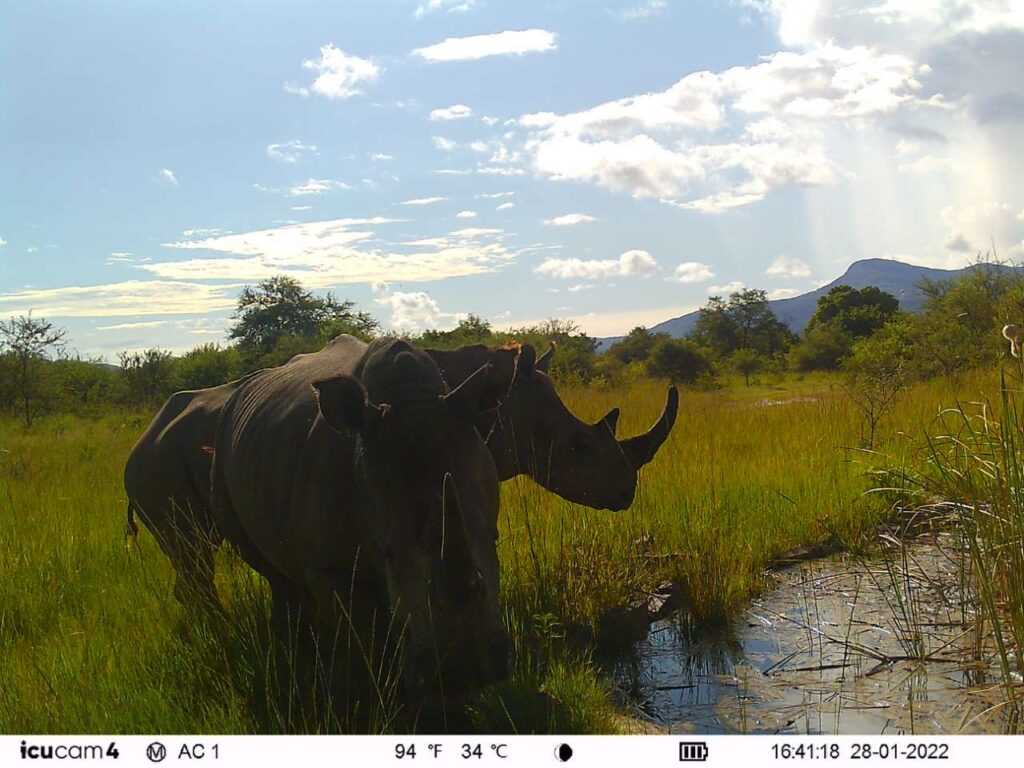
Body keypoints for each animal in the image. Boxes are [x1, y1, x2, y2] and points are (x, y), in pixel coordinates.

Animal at [209, 335, 513, 701]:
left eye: (494, 537)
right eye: (388, 553)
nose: (465, 672)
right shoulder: (331, 567)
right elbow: (367, 638)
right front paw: (395, 693)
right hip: (221, 454)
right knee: (270, 570)